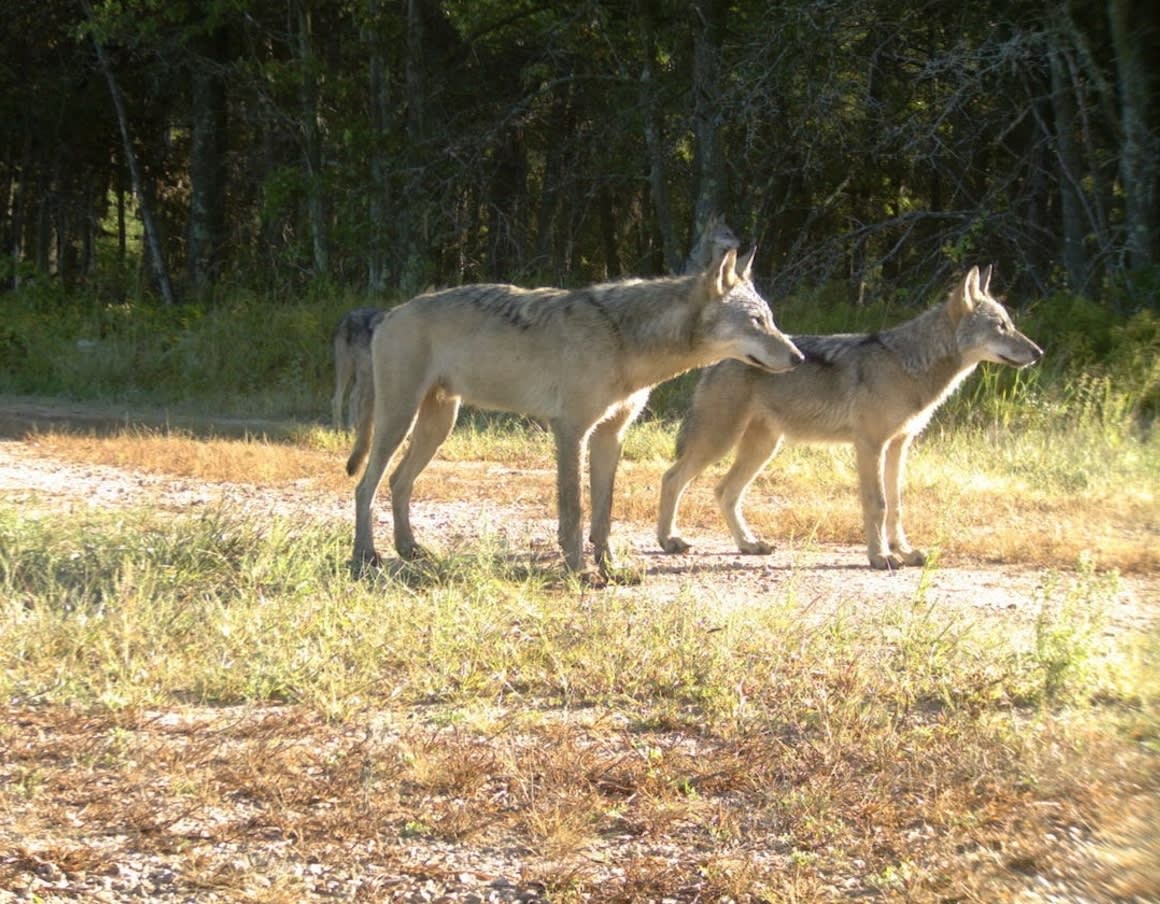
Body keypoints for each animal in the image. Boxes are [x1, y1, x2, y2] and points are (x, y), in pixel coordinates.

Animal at [346, 244, 805, 577]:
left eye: (770, 319)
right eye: (756, 321)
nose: (799, 358)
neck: (623, 341)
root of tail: (387, 314)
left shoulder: (610, 435)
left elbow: (603, 512)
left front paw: (611, 567)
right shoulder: (570, 430)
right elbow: (574, 509)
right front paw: (578, 569)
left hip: (437, 426)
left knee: (398, 482)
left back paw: (408, 549)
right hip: (399, 422)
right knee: (365, 486)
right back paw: (366, 556)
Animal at [657, 265, 1044, 569]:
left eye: (1010, 324)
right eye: (1000, 326)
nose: (1038, 352)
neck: (910, 366)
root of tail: (720, 357)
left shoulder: (899, 446)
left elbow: (897, 504)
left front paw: (905, 552)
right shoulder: (870, 444)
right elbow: (878, 504)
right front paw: (880, 557)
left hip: (762, 449)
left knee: (724, 491)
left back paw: (749, 544)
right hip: (720, 442)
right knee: (673, 478)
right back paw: (669, 541)